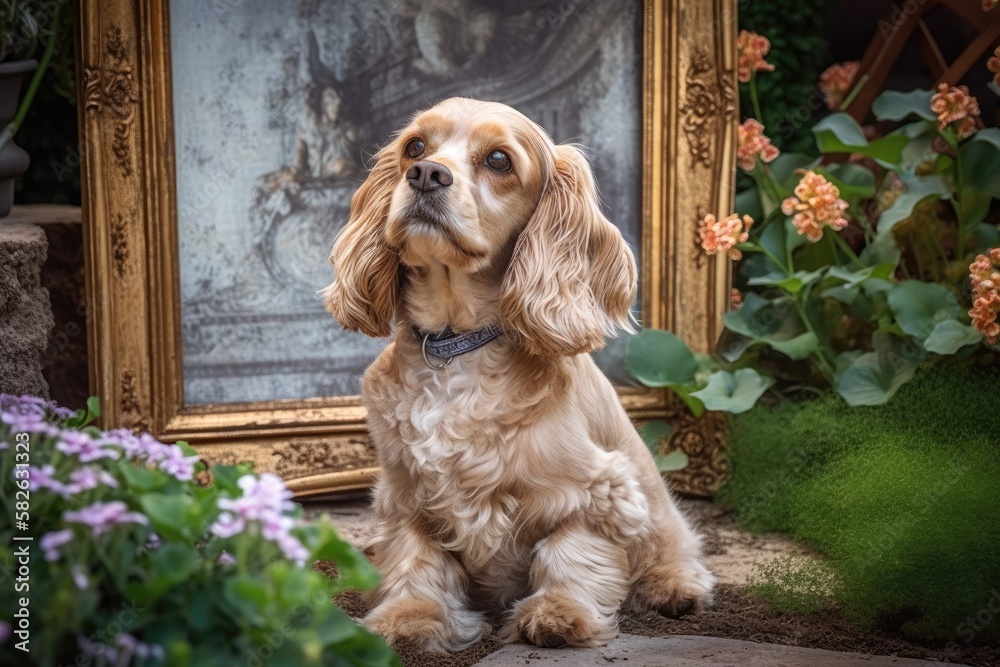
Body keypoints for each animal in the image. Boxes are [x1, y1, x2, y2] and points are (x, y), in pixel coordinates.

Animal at [324, 98, 716, 652]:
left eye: (499, 161)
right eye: (415, 147)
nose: (425, 174)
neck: (457, 346)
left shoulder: (601, 490)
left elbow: (571, 552)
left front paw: (559, 613)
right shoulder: (404, 496)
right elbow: (416, 561)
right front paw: (410, 618)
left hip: (660, 515)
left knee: (674, 550)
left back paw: (675, 588)